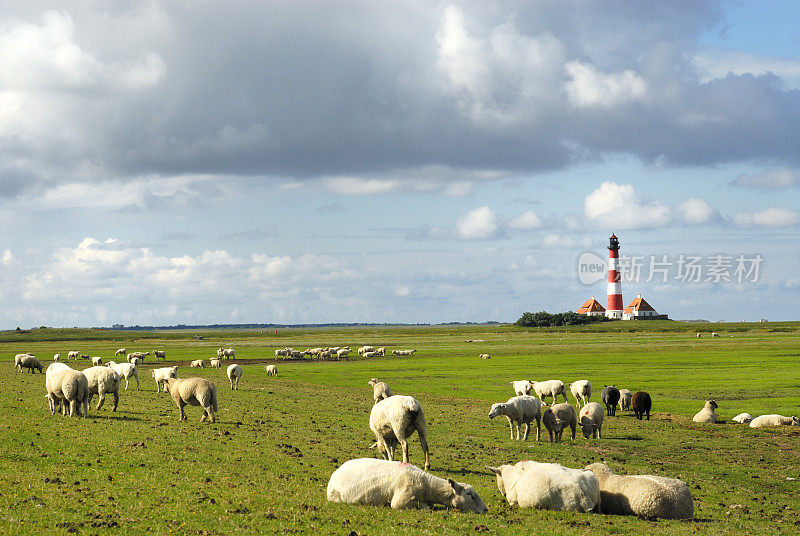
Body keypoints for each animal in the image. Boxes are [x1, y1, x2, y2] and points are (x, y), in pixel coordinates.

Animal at [324, 458, 488, 512]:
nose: (486, 509)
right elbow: (425, 506)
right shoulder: (400, 501)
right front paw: (427, 506)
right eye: (469, 494)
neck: (426, 485)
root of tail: (336, 472)